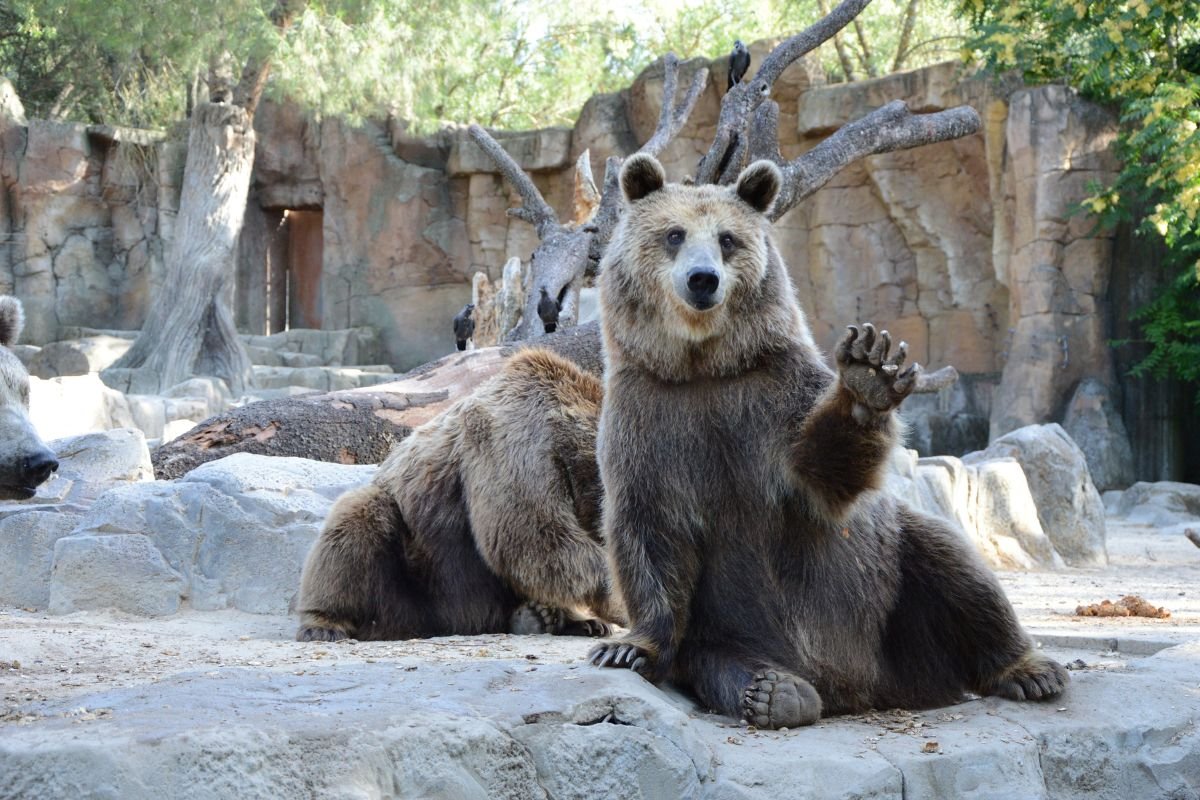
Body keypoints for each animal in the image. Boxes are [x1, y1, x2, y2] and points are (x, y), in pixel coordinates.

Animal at [295, 347, 624, 642]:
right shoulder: (518, 443)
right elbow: (531, 534)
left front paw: (591, 616)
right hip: (417, 576)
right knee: (356, 521)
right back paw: (324, 624)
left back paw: (557, 619)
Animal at [588, 154, 1067, 729]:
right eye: (673, 234)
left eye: (728, 239)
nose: (703, 280)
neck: (703, 367)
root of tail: (862, 688)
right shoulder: (650, 418)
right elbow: (648, 527)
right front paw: (627, 647)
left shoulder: (772, 399)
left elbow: (822, 475)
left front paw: (869, 373)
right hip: (726, 629)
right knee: (722, 661)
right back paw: (775, 691)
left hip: (892, 595)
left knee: (955, 568)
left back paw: (1031, 669)